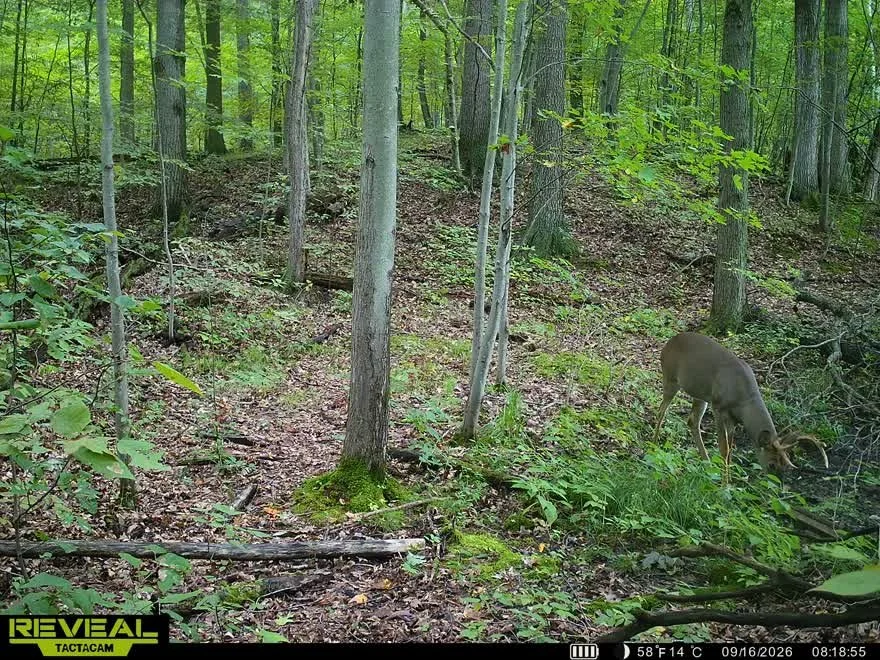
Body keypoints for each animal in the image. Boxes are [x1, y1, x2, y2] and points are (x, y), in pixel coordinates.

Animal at [652, 332, 829, 475]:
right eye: (771, 464)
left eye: (783, 465)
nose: (774, 479)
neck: (744, 399)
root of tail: (669, 342)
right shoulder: (718, 407)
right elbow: (724, 449)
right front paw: (725, 484)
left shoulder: (733, 419)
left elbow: (730, 451)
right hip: (671, 378)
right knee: (661, 410)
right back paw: (653, 445)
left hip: (700, 394)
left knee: (692, 421)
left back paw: (706, 461)